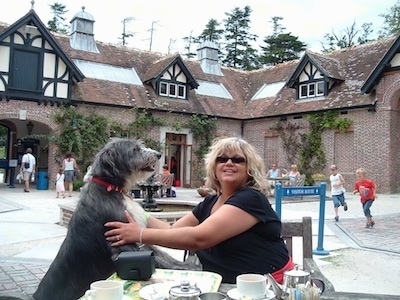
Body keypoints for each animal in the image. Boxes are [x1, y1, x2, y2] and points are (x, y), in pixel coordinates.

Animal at [33, 139, 199, 300]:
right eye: (134, 150)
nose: (158, 154)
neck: (111, 188)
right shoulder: (121, 241)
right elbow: (157, 259)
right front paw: (188, 268)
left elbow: (162, 255)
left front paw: (187, 267)